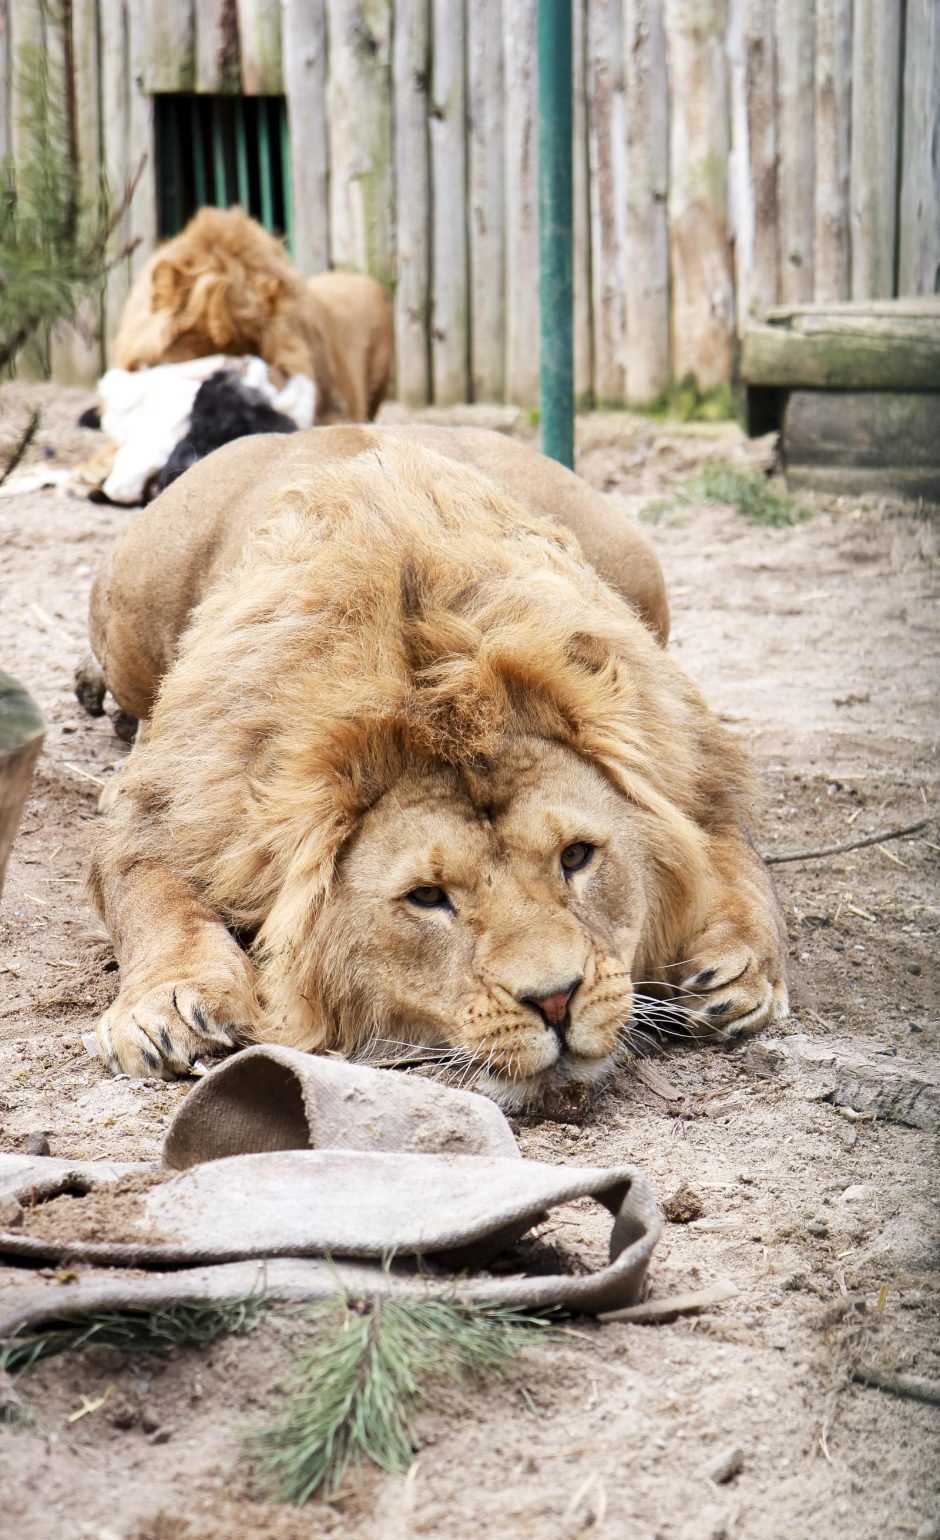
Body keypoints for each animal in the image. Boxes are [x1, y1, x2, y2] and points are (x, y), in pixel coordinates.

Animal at [85, 431, 782, 1108]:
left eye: (577, 857)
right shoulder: (158, 808)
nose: (556, 1001)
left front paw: (739, 969)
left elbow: (739, 862)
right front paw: (168, 1007)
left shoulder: (693, 767)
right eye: (426, 897)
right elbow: (152, 899)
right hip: (132, 608)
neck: (432, 679)